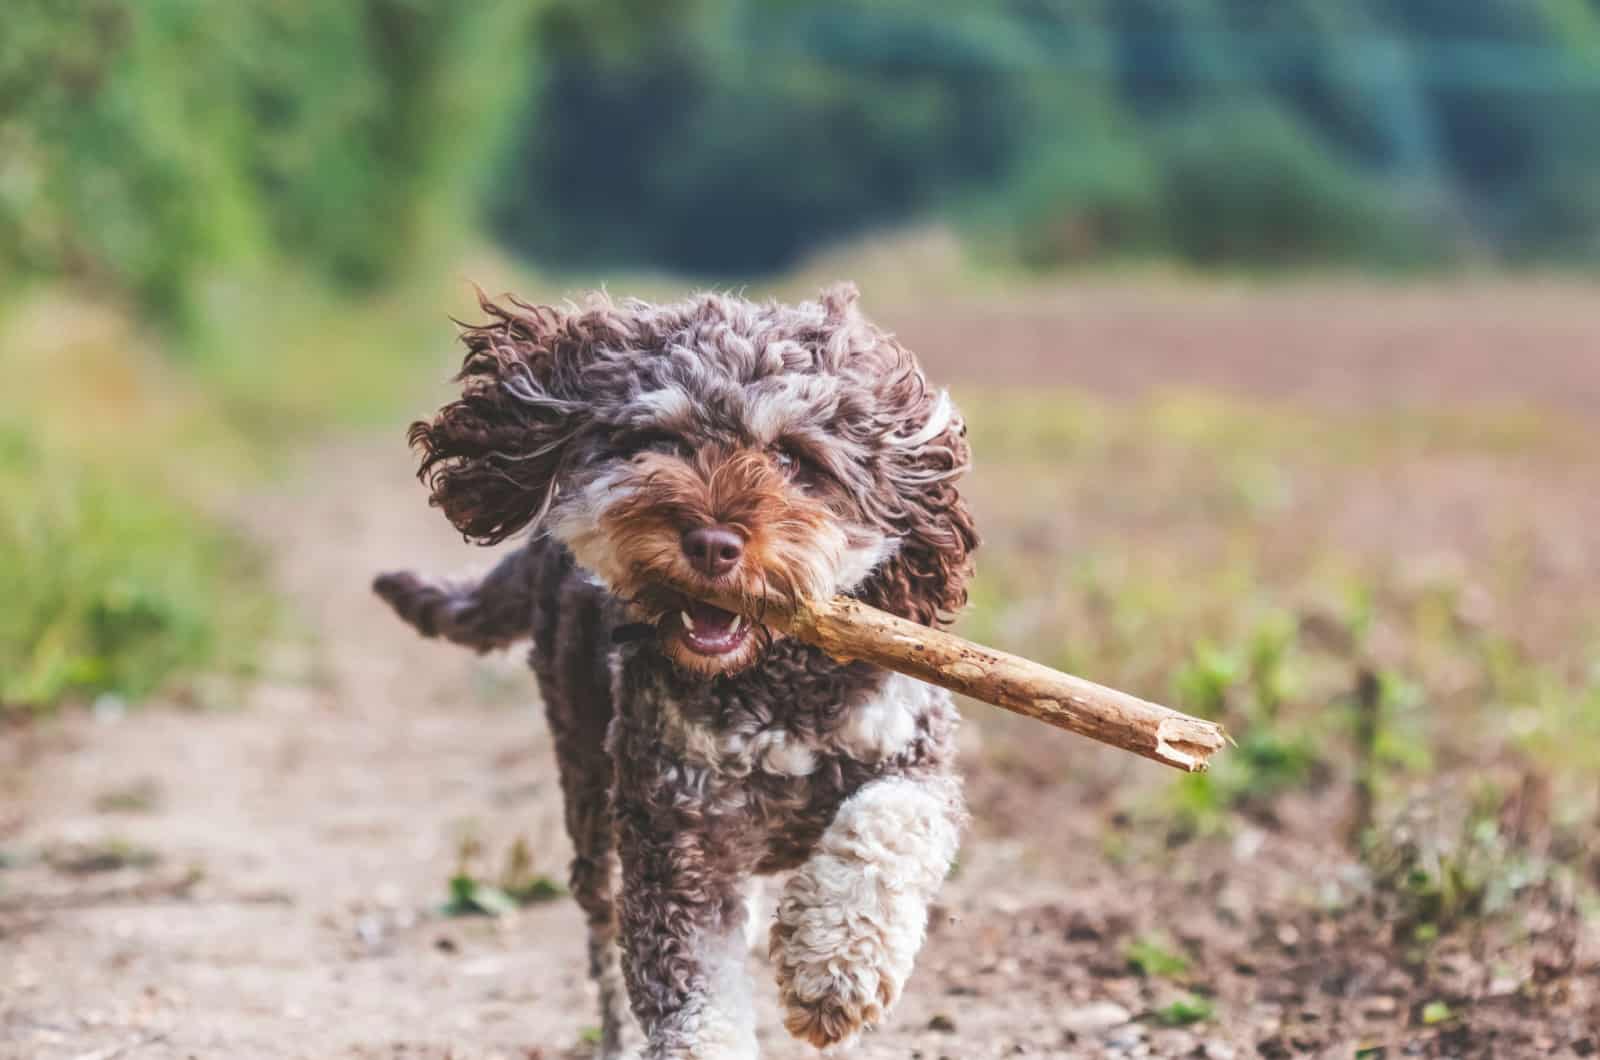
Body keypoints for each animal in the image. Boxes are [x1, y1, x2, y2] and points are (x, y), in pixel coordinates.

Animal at [374, 285, 972, 1060]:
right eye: (660, 441)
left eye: (793, 457)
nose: (712, 543)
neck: (773, 689)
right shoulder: (674, 842)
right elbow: (694, 1001)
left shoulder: (916, 758)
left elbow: (890, 826)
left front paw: (832, 967)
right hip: (586, 789)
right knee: (601, 935)